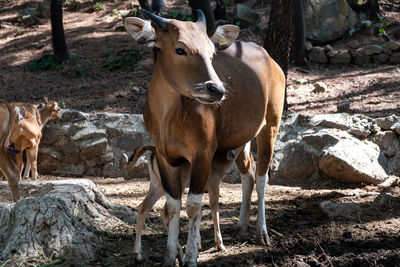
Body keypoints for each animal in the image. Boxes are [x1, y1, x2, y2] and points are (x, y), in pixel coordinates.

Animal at [125, 9, 284, 266]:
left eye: (211, 53)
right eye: (180, 49)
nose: (216, 89)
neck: (169, 117)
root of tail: (269, 58)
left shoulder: (202, 154)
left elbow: (193, 205)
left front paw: (190, 256)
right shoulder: (166, 157)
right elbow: (173, 205)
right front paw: (170, 256)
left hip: (270, 125)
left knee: (262, 177)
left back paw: (262, 232)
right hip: (241, 137)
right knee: (248, 173)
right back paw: (242, 224)